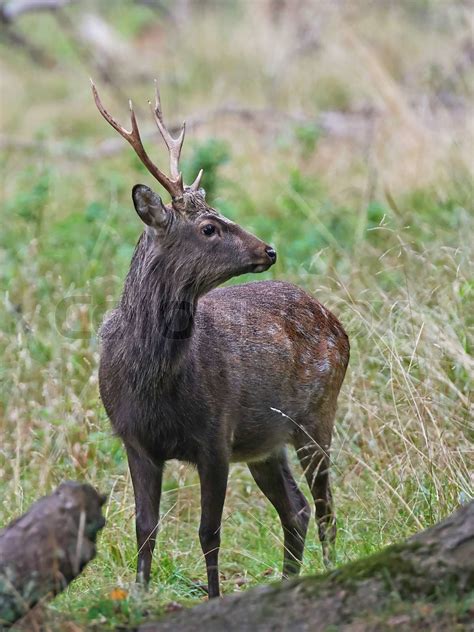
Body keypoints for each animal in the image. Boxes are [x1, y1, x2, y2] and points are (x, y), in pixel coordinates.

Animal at [92, 81, 350, 600]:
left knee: (325, 508)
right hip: (266, 440)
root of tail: (339, 325)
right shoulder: (134, 438)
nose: (268, 249)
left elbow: (209, 531)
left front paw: (212, 598)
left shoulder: (215, 434)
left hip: (317, 412)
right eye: (209, 227)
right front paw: (139, 597)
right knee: (297, 509)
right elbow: (144, 527)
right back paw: (287, 581)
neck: (152, 380)